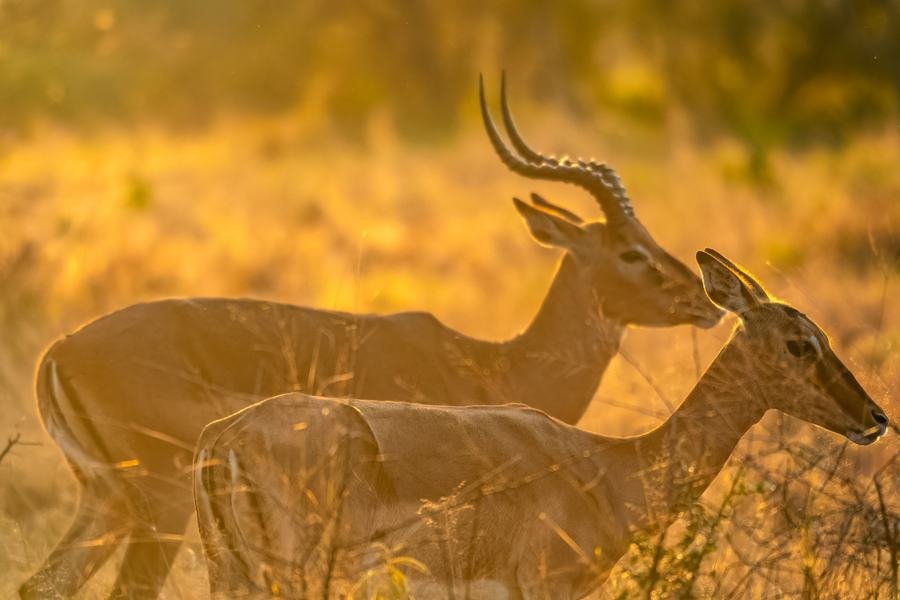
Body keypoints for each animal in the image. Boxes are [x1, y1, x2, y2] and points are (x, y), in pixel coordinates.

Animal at [20, 77, 721, 599]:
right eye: (631, 252)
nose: (702, 297)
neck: (493, 363)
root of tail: (59, 350)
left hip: (107, 502)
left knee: (42, 584)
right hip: (159, 508)